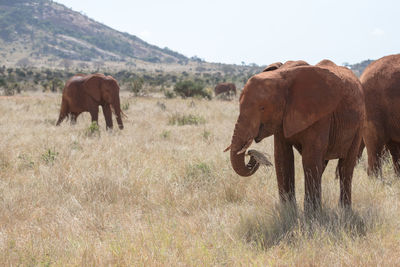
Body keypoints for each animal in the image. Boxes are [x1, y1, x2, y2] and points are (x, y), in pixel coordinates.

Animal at [225, 61, 366, 214]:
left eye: (262, 108)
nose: (251, 154)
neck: (282, 76)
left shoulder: (320, 116)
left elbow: (310, 159)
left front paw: (311, 215)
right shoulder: (282, 119)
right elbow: (283, 157)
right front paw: (288, 210)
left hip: (359, 125)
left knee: (346, 166)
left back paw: (344, 211)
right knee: (323, 165)